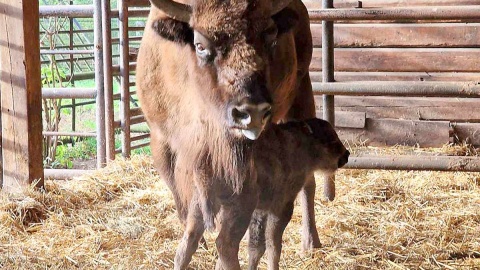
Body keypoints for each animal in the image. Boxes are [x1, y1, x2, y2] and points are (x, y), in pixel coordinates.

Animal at [137, 0, 320, 266]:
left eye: (271, 38)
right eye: (200, 45)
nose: (252, 111)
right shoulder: (163, 141)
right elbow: (183, 203)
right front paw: (200, 244)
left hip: (301, 93)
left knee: (308, 180)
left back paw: (310, 241)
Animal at [248, 118, 348, 270]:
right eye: (329, 138)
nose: (346, 155)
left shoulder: (260, 211)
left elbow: (256, 246)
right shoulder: (280, 206)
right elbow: (272, 244)